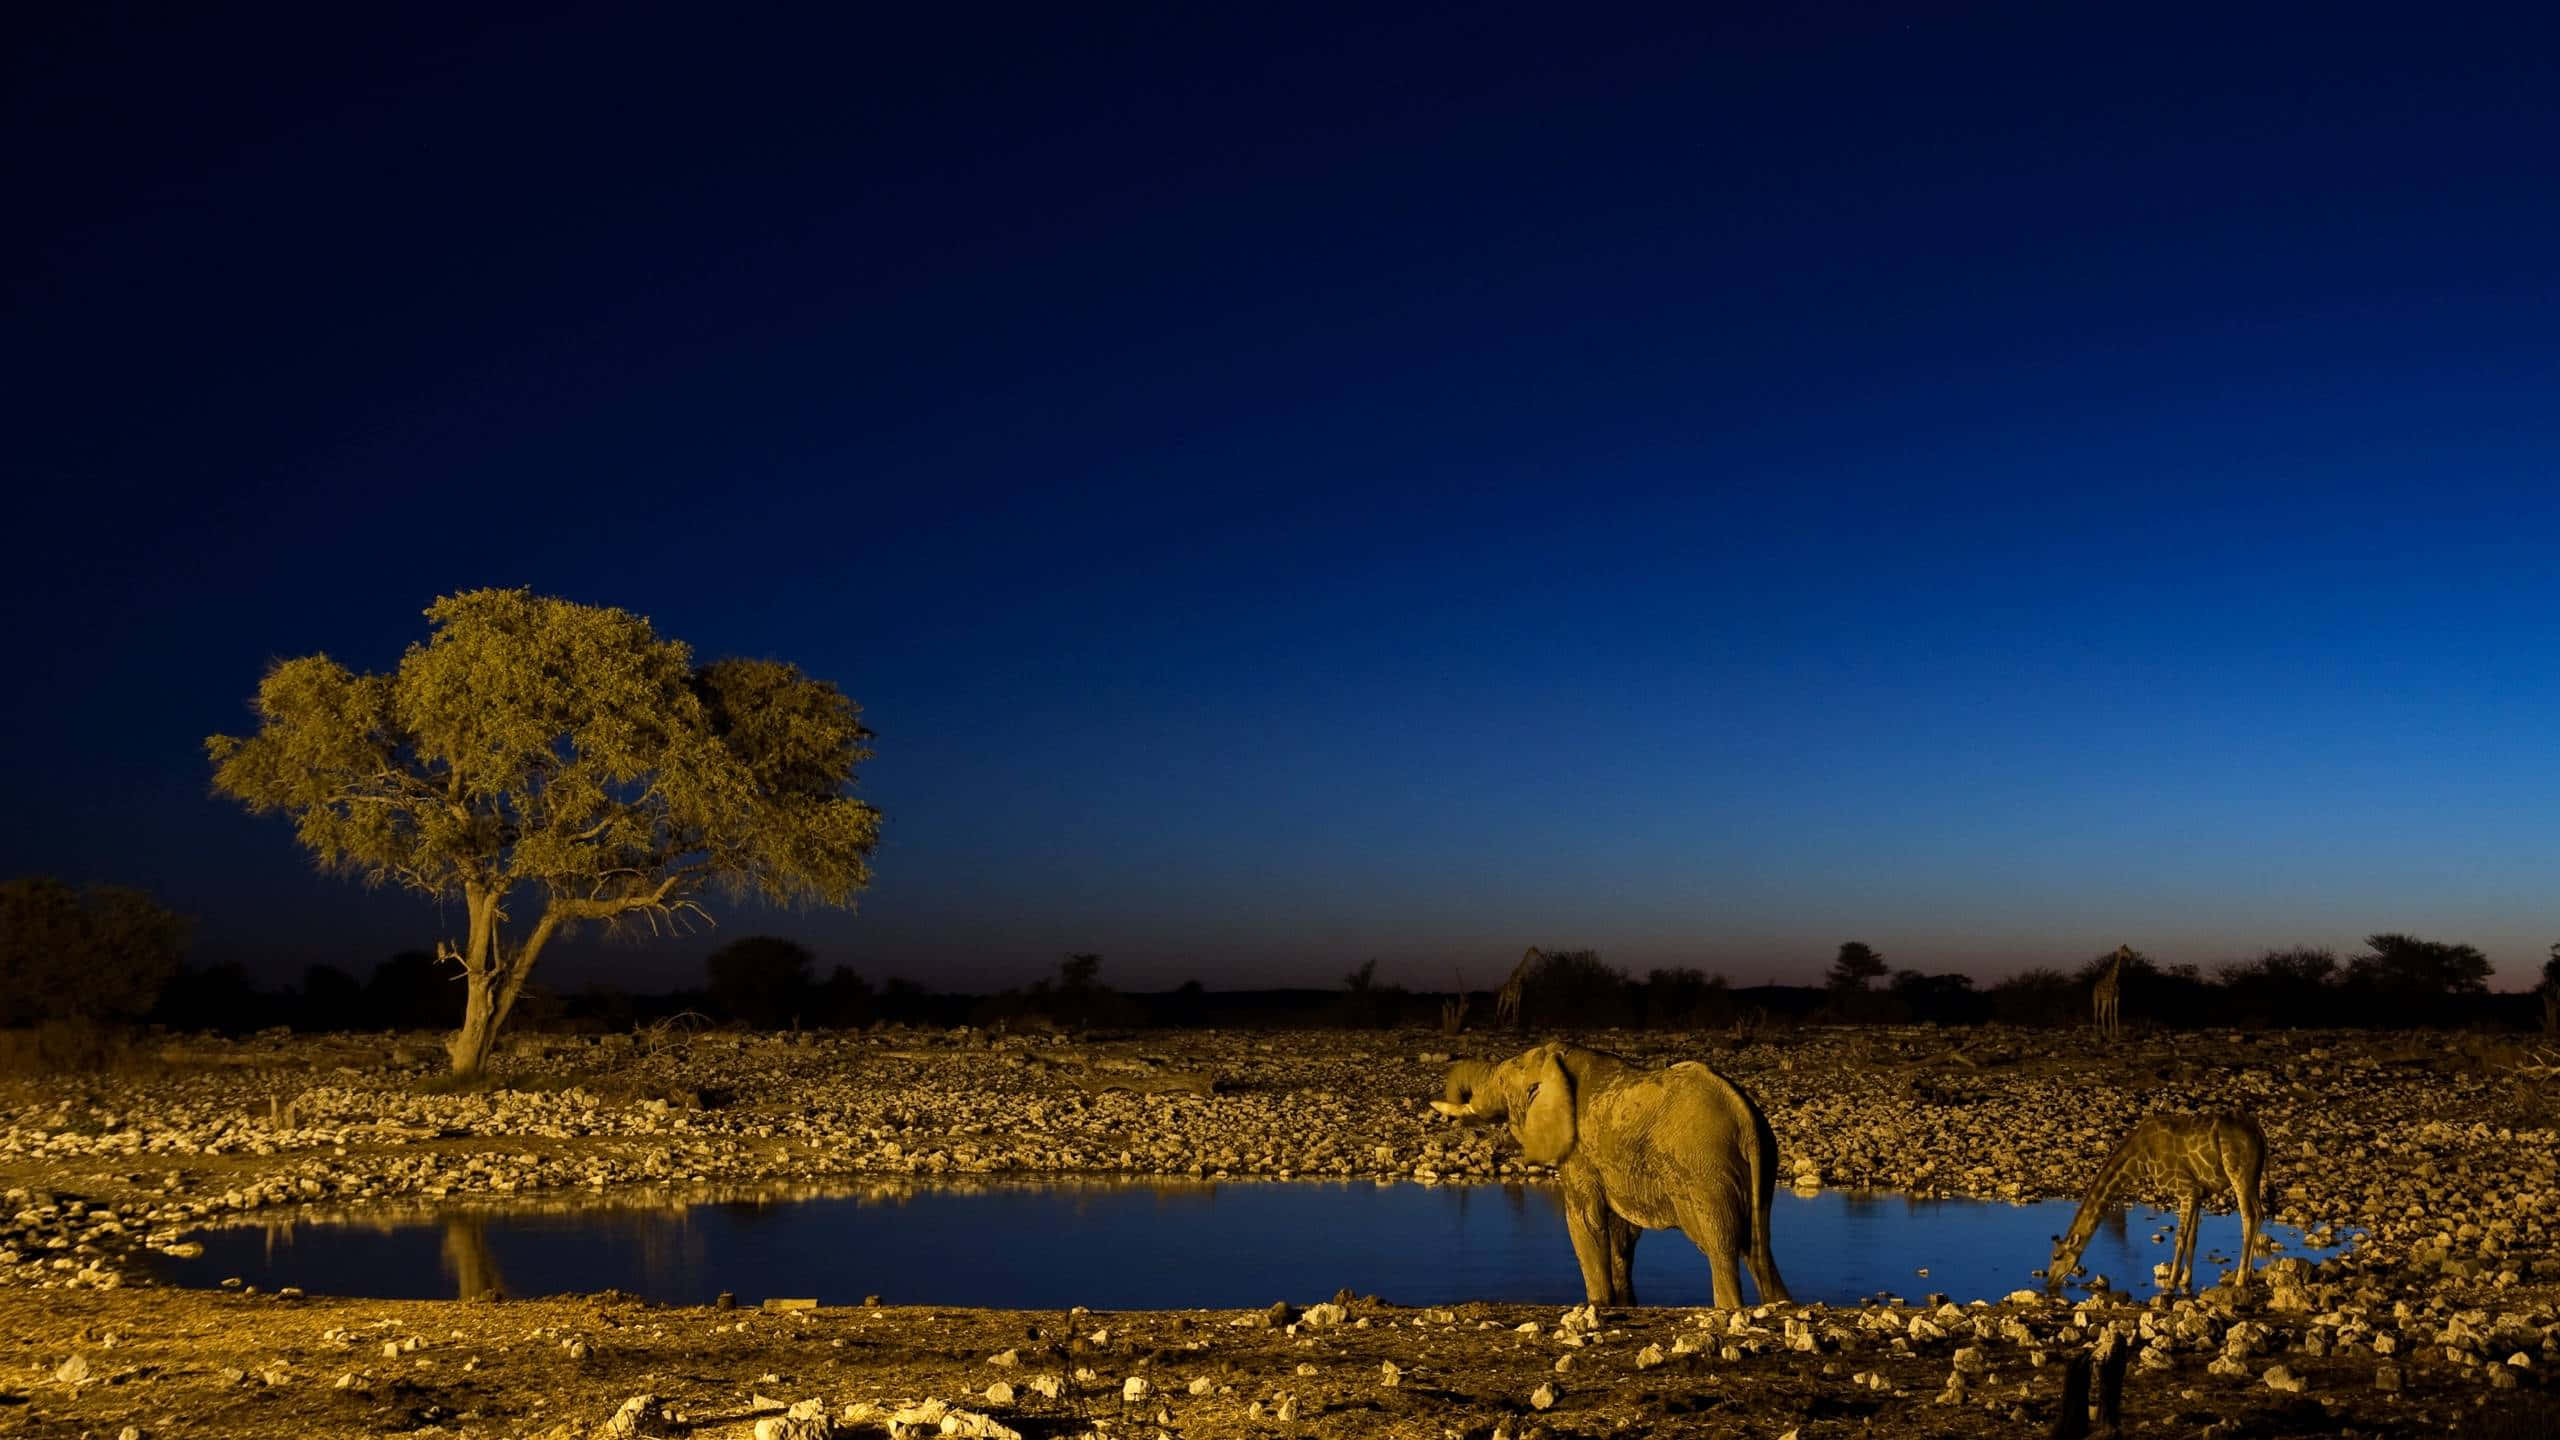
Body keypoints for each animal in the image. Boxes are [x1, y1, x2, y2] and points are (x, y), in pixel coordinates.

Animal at [1433, 1042, 1789, 1309]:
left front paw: (1598, 1304)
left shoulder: (1579, 1151)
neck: (1555, 1058)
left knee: (1721, 1245)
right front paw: (1623, 1304)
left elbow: (1584, 1220)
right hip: (1762, 1164)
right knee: (1759, 1249)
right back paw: (1779, 1304)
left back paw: (1729, 1307)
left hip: (1705, 1169)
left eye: (1502, 1083)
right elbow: (1622, 1231)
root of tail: (1745, 1117)